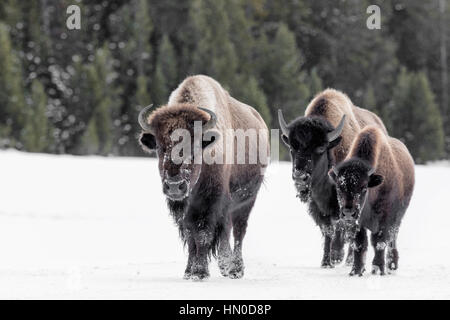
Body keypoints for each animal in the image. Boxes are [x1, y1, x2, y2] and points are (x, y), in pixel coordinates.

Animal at [139, 75, 268, 280]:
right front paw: (189, 272)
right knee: (227, 230)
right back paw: (225, 265)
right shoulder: (186, 209)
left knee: (239, 231)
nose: (174, 186)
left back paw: (236, 269)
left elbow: (202, 234)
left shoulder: (210, 202)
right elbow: (190, 235)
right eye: (159, 147)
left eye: (194, 146)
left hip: (247, 200)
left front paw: (200, 272)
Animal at [278, 88, 386, 268]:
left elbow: (341, 226)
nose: (300, 177)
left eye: (321, 148)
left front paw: (336, 255)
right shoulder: (317, 207)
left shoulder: (344, 202)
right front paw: (325, 262)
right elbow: (327, 229)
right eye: (292, 148)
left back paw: (348, 260)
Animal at [326, 125, 414, 276]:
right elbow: (359, 243)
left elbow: (379, 242)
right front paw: (356, 271)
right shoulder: (357, 224)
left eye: (363, 188)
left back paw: (392, 265)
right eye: (339, 187)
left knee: (392, 239)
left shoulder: (384, 218)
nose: (348, 212)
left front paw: (378, 269)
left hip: (398, 217)